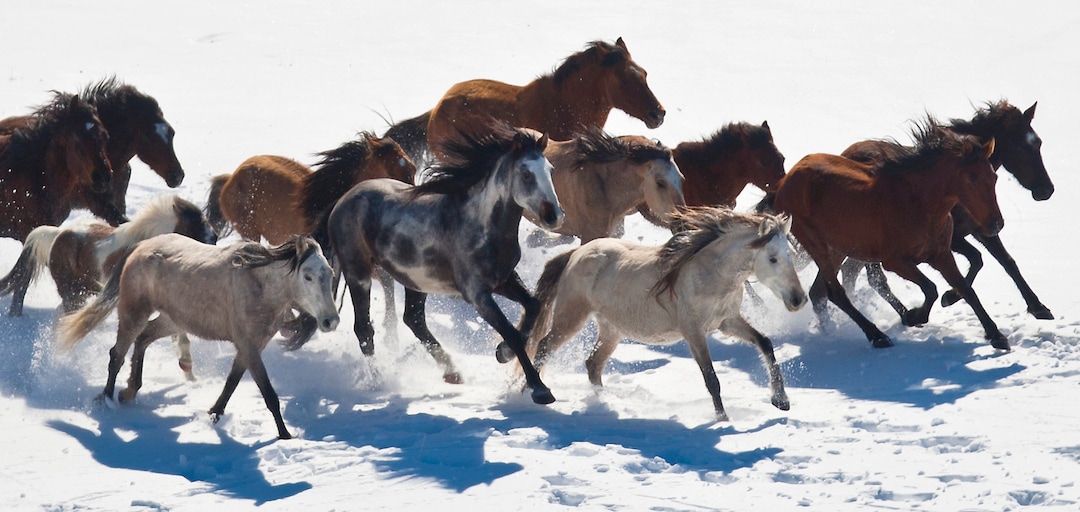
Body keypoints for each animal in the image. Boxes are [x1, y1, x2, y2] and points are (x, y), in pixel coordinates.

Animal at [57, 234, 339, 440]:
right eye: (308, 276)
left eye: (331, 274)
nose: (330, 321)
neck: (259, 286)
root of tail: (140, 246)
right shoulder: (248, 346)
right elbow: (269, 394)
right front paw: (285, 436)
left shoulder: (250, 347)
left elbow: (232, 382)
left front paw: (214, 414)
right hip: (134, 313)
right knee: (117, 354)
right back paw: (106, 401)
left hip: (173, 320)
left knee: (143, 339)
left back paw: (130, 391)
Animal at [327, 122, 564, 405]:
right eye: (526, 173)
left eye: (551, 170)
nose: (554, 216)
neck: (481, 224)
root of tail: (342, 201)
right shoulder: (476, 294)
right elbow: (512, 332)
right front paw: (540, 389)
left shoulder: (505, 280)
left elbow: (533, 307)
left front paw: (502, 353)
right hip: (358, 274)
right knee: (364, 330)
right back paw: (379, 382)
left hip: (414, 281)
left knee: (414, 319)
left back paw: (452, 373)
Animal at [520, 207, 806, 421]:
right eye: (772, 258)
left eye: (791, 254)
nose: (798, 299)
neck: (710, 274)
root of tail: (576, 253)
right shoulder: (693, 332)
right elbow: (711, 378)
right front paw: (722, 420)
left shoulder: (727, 322)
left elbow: (764, 342)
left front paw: (781, 400)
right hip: (572, 317)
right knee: (544, 346)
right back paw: (533, 394)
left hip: (612, 329)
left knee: (593, 363)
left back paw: (604, 401)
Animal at [771, 120, 1009, 350]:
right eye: (972, 179)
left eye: (994, 177)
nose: (995, 224)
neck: (919, 204)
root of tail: (783, 183)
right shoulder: (895, 261)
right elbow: (931, 288)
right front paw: (914, 316)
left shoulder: (941, 254)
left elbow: (967, 288)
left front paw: (995, 335)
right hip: (816, 243)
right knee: (836, 293)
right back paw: (877, 336)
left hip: (837, 248)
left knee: (819, 292)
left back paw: (832, 332)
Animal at [839, 101, 1054, 320]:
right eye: (1020, 146)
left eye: (1038, 143)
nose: (1046, 190)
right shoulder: (953, 239)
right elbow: (977, 259)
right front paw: (950, 297)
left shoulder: (982, 230)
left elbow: (1008, 262)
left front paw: (1038, 307)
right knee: (871, 278)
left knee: (851, 272)